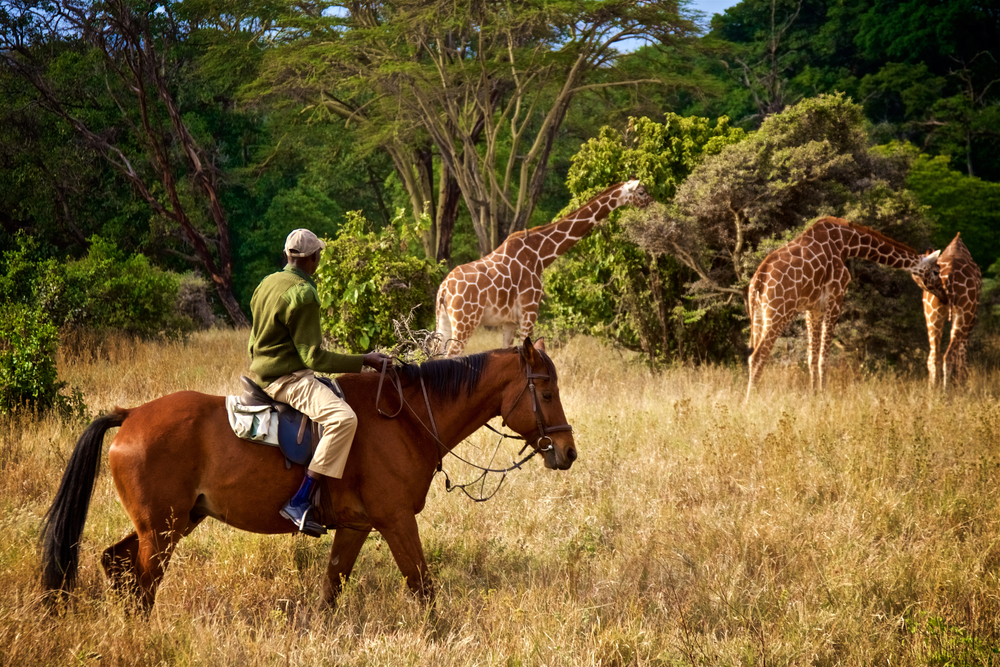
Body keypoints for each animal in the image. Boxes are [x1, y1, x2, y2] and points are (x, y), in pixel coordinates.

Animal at [40, 338, 576, 611]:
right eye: (547, 392)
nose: (568, 452)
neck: (406, 419)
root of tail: (131, 415)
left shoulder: (358, 526)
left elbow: (331, 589)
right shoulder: (397, 520)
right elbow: (422, 586)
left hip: (174, 522)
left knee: (117, 563)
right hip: (163, 530)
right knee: (144, 583)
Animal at [434, 180, 653, 356]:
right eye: (642, 192)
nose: (653, 206)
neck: (540, 256)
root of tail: (443, 289)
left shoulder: (509, 322)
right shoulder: (529, 313)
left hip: (443, 321)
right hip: (465, 321)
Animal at [745, 216, 946, 402]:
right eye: (936, 271)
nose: (944, 295)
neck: (847, 243)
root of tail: (758, 280)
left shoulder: (813, 308)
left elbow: (812, 357)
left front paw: (813, 395)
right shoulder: (835, 299)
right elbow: (824, 358)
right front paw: (823, 396)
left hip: (758, 315)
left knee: (753, 353)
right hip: (780, 312)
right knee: (757, 356)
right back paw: (749, 402)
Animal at [914, 233, 982, 389]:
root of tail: (949, 277)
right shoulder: (971, 318)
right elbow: (962, 351)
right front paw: (962, 382)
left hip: (932, 316)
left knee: (934, 356)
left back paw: (933, 391)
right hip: (964, 315)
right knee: (949, 355)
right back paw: (947, 391)